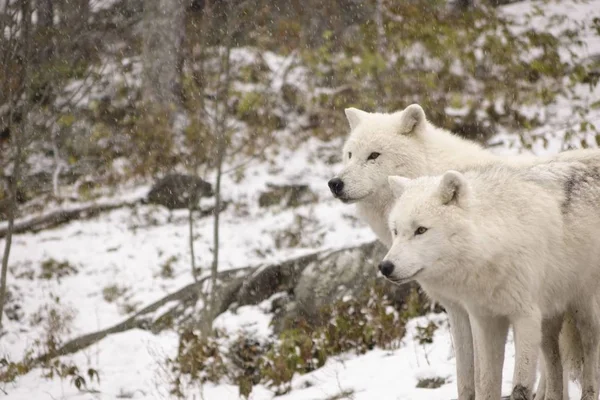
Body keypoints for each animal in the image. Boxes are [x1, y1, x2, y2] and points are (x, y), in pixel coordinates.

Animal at [380, 163, 600, 400]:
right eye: (395, 231)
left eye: (421, 230)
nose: (385, 267)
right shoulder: (485, 320)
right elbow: (485, 383)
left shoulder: (526, 318)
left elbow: (520, 387)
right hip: (549, 320)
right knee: (553, 361)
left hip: (582, 309)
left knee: (590, 348)